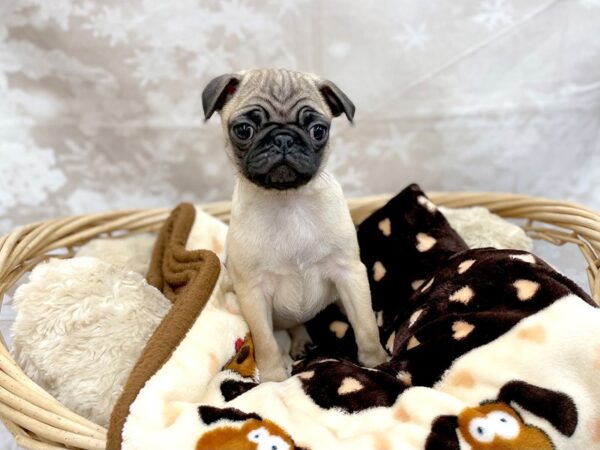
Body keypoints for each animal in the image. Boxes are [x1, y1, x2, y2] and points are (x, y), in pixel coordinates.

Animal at [203, 68, 390, 382]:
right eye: (244, 130)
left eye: (318, 130)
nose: (283, 139)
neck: (288, 201)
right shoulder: (252, 292)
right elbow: (265, 340)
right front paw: (274, 378)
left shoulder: (349, 273)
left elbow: (365, 325)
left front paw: (377, 362)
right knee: (290, 327)